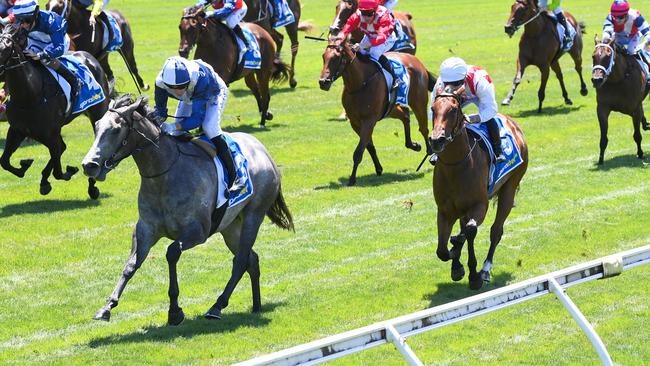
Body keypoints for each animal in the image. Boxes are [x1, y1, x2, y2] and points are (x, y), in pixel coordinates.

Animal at [0, 24, 109, 199]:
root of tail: (90, 58)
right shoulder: (18, 130)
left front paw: (69, 171)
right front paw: (26, 166)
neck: (31, 95)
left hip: (98, 113)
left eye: (6, 48)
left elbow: (58, 171)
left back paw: (92, 187)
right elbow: (4, 162)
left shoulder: (49, 133)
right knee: (61, 147)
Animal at [80, 95, 294, 326]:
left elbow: (171, 252)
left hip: (254, 216)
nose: (89, 165)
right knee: (251, 259)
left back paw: (217, 306)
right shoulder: (145, 229)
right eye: (97, 126)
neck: (164, 175)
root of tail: (263, 150)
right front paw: (107, 307)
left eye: (116, 129)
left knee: (241, 261)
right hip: (230, 226)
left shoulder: (197, 232)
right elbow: (131, 265)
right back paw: (256, 305)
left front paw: (175, 311)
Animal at [320, 38, 436, 184]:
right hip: (390, 108)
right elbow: (368, 146)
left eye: (336, 58)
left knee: (423, 128)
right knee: (405, 115)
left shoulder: (369, 120)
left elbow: (359, 151)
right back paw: (413, 145)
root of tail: (417, 61)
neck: (360, 83)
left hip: (418, 101)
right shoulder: (355, 122)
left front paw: (352, 179)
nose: (323, 82)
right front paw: (378, 168)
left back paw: (430, 150)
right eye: (323, 57)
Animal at [428, 87, 528, 290]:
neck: (456, 166)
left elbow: (470, 231)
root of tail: (513, 123)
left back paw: (484, 269)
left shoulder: (479, 205)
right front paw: (456, 264)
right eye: (433, 109)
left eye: (453, 110)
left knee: (495, 230)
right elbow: (442, 250)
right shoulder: (445, 211)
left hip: (510, 188)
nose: (436, 140)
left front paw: (473, 275)